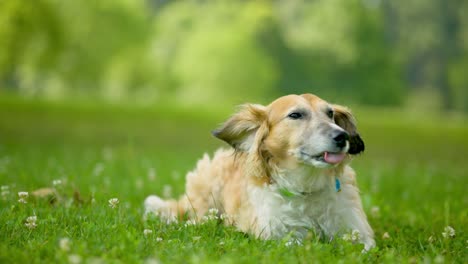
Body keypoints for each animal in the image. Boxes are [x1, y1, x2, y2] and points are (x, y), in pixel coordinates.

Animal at [144, 94, 374, 251]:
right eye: (295, 115)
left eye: (330, 113)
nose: (342, 136)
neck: (306, 187)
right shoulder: (279, 236)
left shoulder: (358, 232)